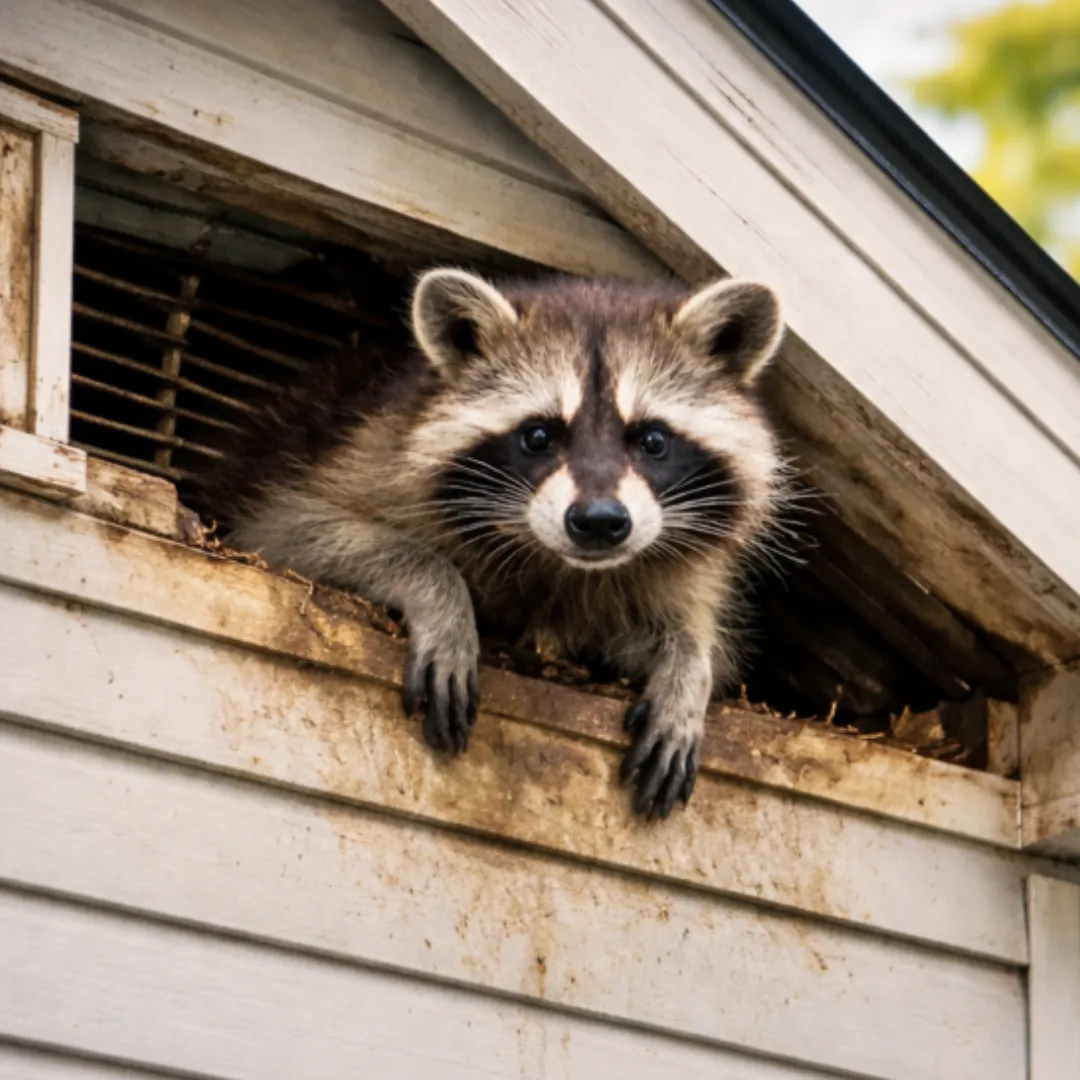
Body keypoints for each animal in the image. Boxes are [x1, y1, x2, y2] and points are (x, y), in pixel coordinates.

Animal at [199, 268, 788, 821]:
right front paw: (439, 592)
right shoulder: (362, 455)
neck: (559, 561)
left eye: (653, 440)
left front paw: (687, 665)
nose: (599, 522)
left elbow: (686, 635)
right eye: (538, 436)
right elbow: (291, 529)